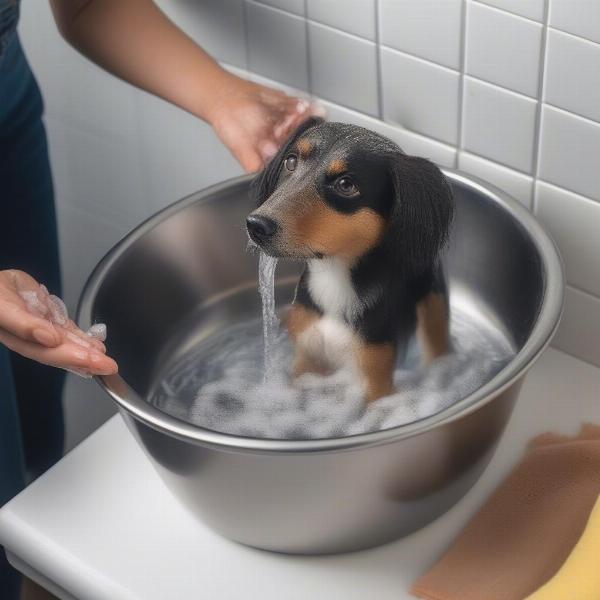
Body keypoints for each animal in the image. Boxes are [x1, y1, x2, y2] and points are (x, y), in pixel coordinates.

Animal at [246, 119, 452, 404]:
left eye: (346, 184)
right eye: (291, 161)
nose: (256, 225)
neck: (334, 276)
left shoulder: (376, 376)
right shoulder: (306, 356)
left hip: (432, 306)